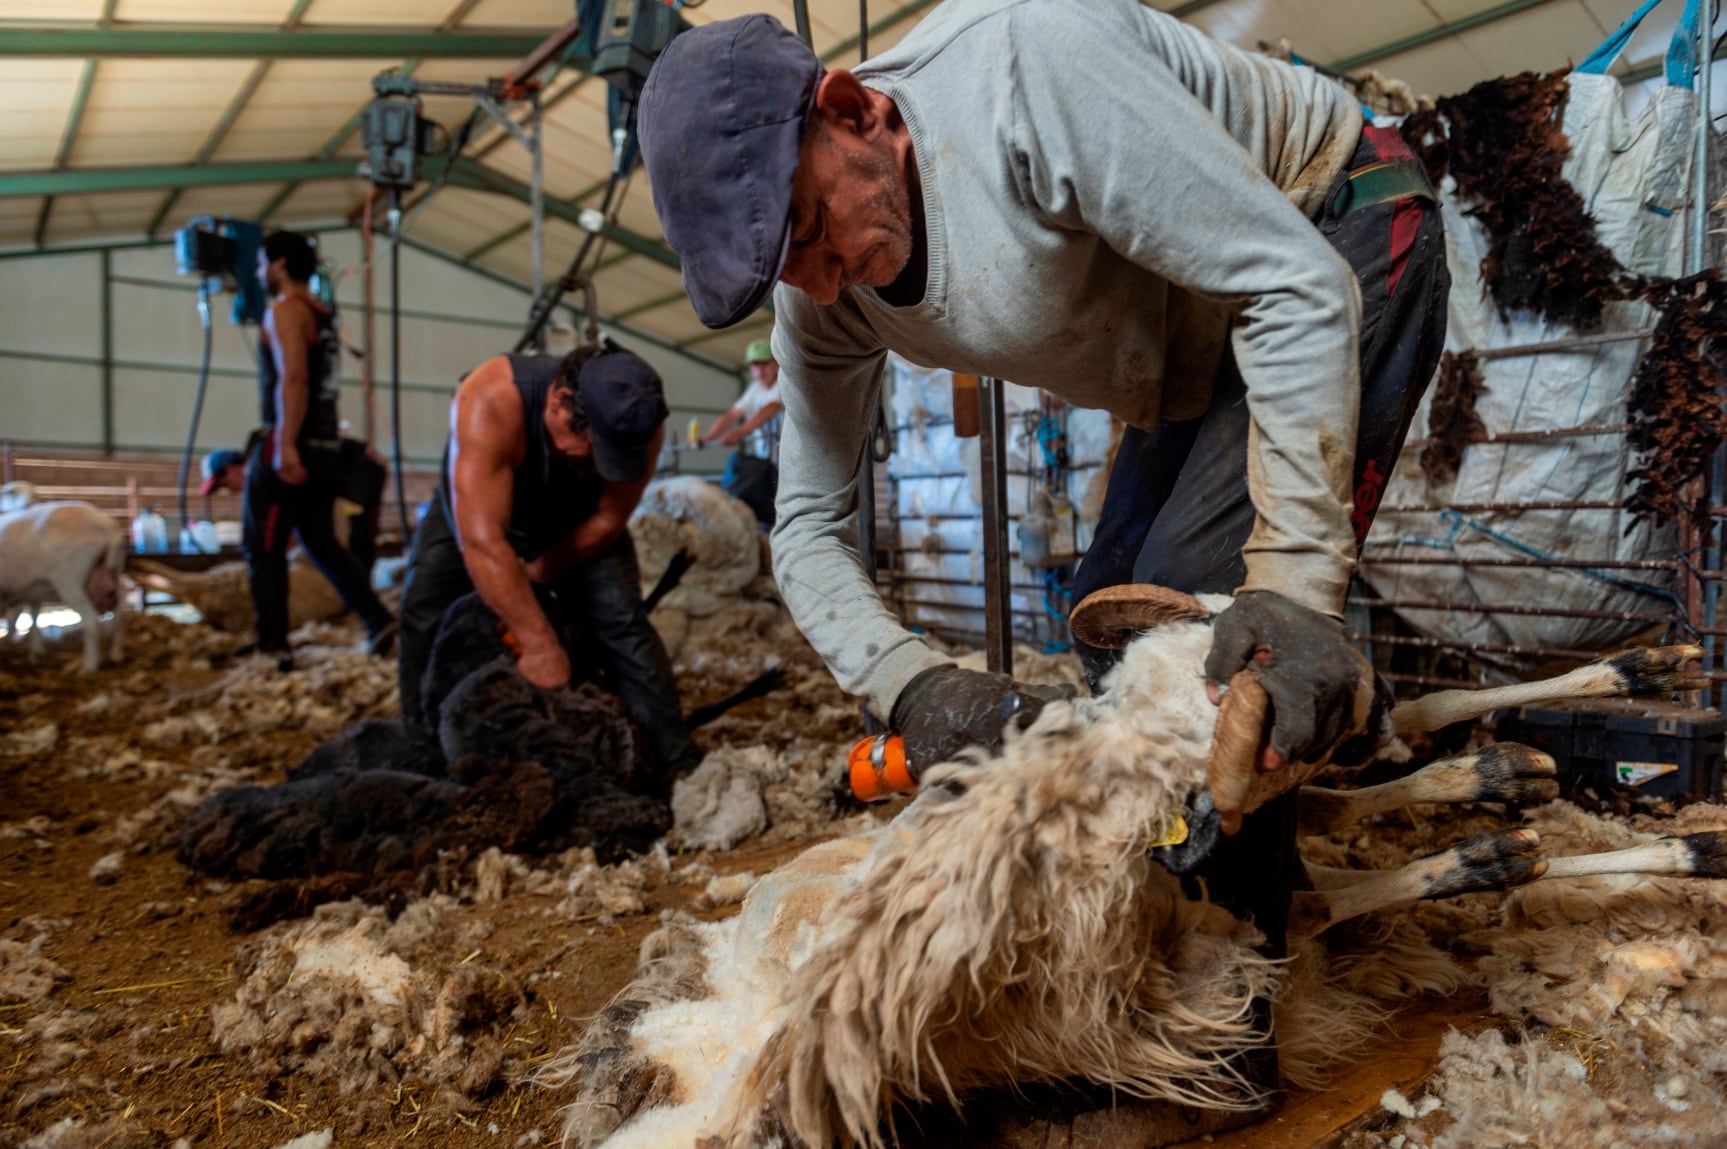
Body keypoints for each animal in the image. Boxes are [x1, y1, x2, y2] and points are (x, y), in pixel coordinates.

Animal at [0, 501, 126, 673]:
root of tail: (107, 527)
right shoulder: (32, 593)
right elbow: (32, 617)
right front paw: (36, 653)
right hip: (115, 573)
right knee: (120, 614)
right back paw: (116, 655)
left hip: (70, 581)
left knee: (91, 621)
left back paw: (89, 667)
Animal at [542, 587, 1727, 1140]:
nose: (1359, 690)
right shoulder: (1245, 935)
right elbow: (1410, 869)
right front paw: (1635, 844)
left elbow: (1402, 752)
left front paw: (1634, 685)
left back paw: (1530, 742)